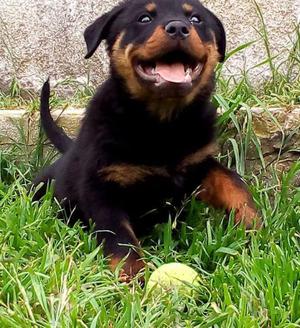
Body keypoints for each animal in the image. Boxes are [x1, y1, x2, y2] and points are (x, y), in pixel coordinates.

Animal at [33, 0, 260, 280]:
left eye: (196, 19)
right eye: (144, 19)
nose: (178, 28)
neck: (162, 124)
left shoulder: (198, 163)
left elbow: (232, 182)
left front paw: (253, 223)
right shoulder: (101, 186)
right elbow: (121, 240)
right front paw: (134, 279)